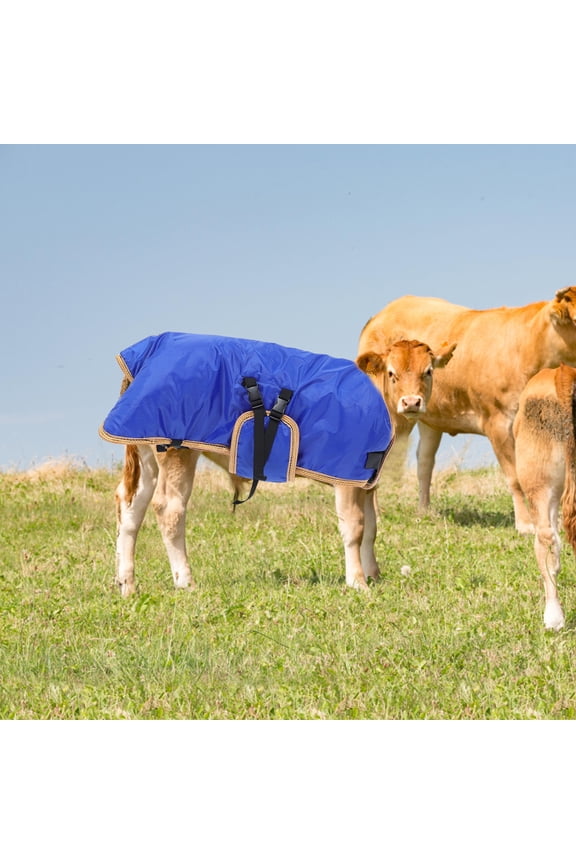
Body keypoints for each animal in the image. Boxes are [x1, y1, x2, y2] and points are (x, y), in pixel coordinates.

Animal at [110, 338, 453, 596]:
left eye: (428, 372)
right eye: (392, 373)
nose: (412, 402)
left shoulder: (367, 480)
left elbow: (371, 528)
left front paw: (373, 574)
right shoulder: (346, 474)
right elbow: (354, 527)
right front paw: (357, 582)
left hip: (146, 449)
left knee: (130, 505)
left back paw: (127, 584)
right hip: (177, 449)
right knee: (169, 509)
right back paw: (186, 581)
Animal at [358, 287, 576, 533]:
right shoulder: (498, 422)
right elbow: (515, 477)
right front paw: (526, 524)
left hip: (428, 417)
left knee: (424, 462)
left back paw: (424, 511)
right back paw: (376, 514)